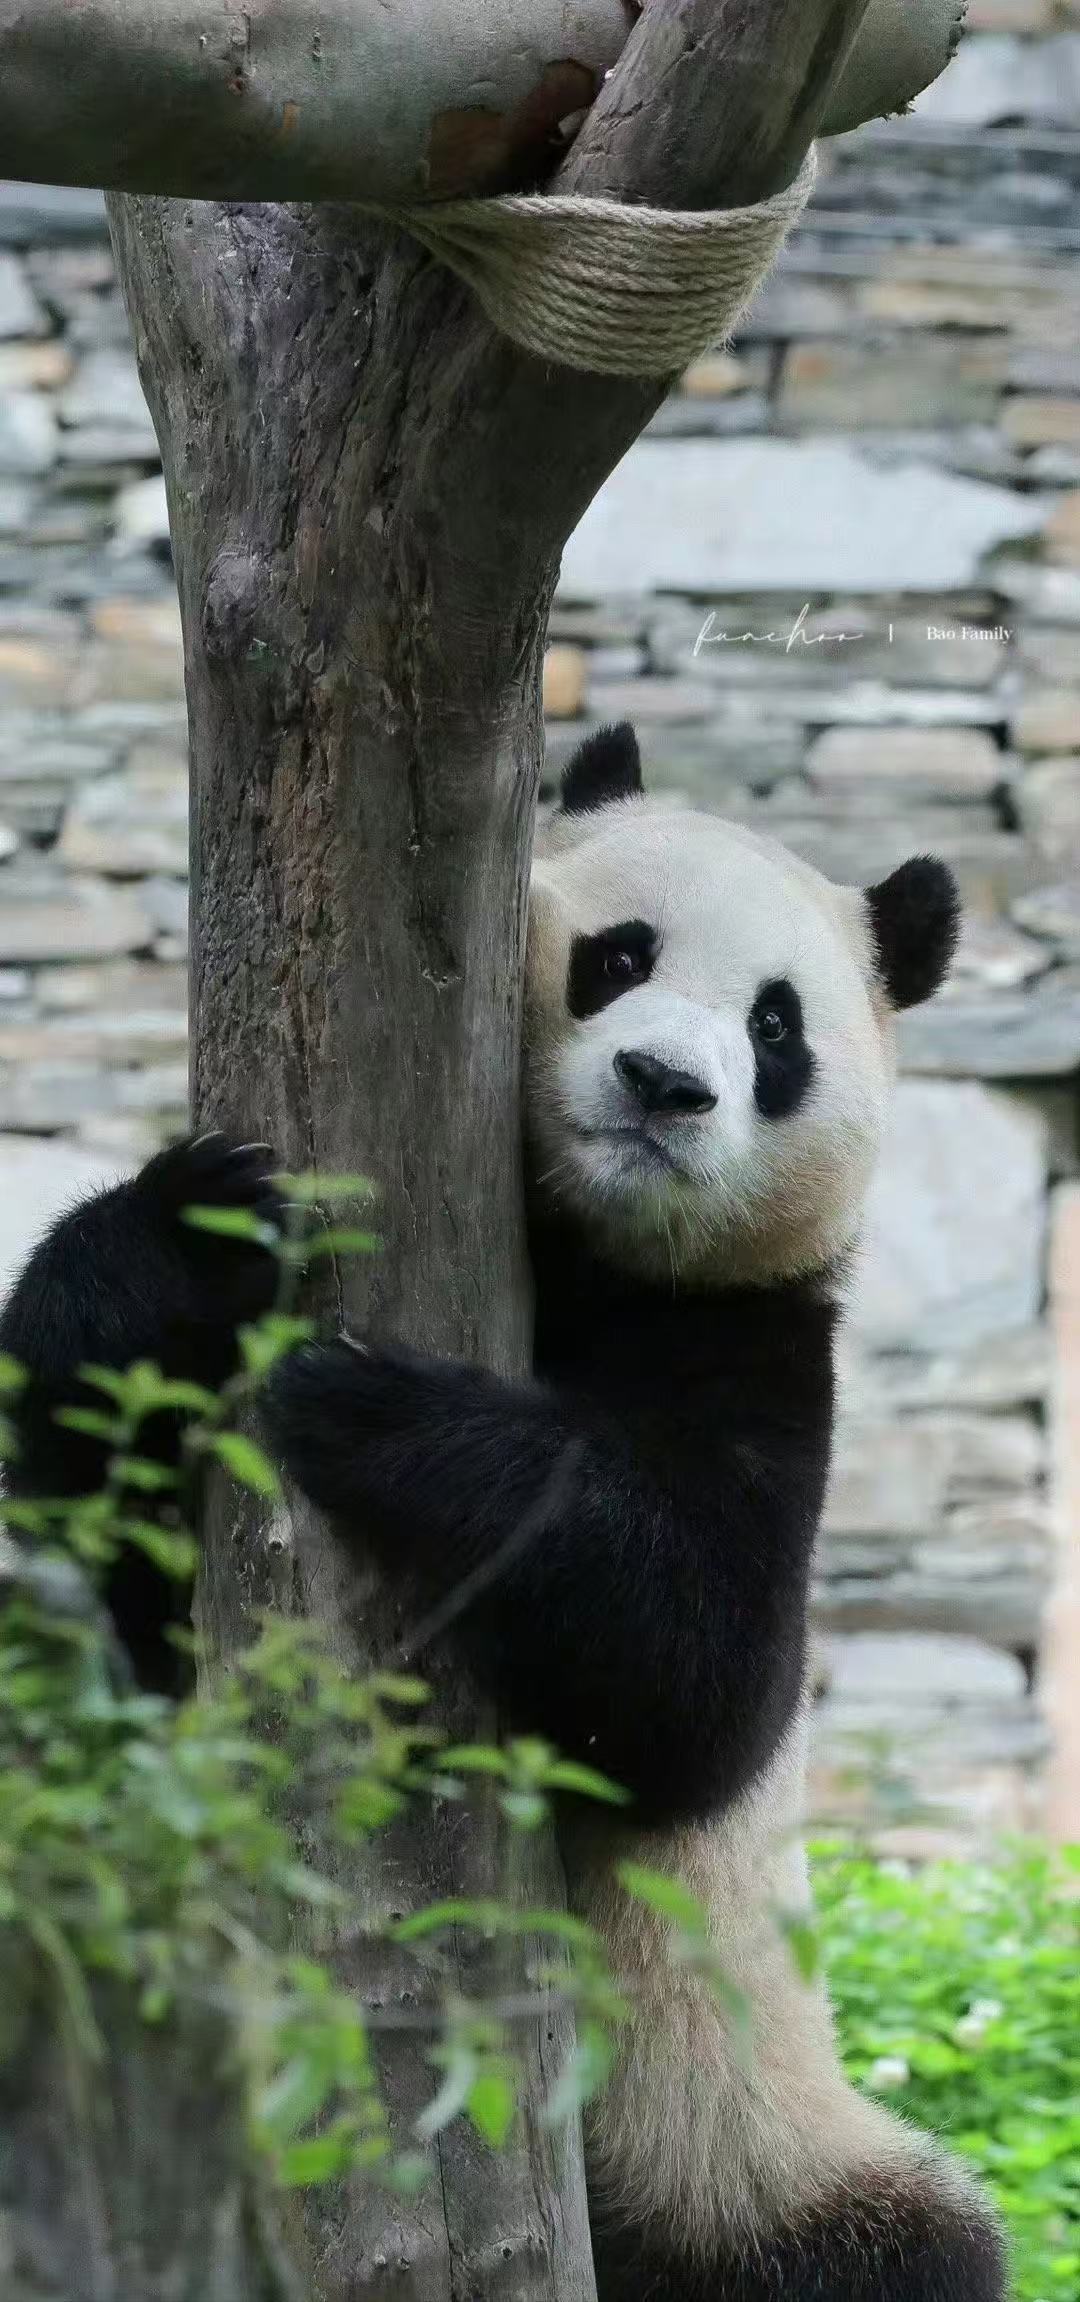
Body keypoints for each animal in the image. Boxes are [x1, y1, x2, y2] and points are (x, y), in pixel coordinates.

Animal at [4, 722, 1004, 2302]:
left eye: (778, 1030)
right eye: (616, 954)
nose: (664, 1083)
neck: (581, 1248)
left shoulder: (759, 1348)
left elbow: (698, 1677)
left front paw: (377, 1406)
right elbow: (99, 1556)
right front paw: (184, 1238)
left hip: (750, 2144)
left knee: (905, 2251)